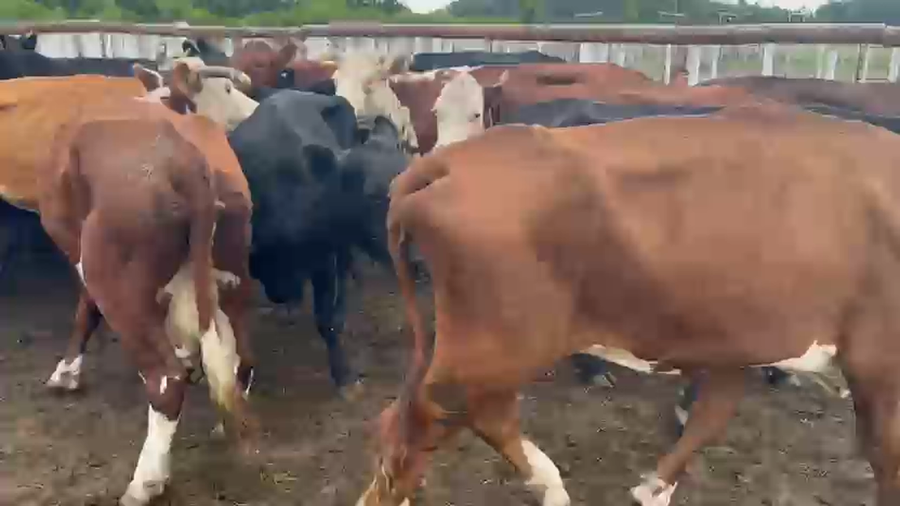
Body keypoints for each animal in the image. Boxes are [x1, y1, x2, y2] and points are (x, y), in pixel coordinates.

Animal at [35, 98, 254, 506]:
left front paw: (66, 372)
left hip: (114, 279)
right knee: (240, 359)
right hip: (232, 278)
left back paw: (146, 482)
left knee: (165, 381)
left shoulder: (76, 245)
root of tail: (187, 162)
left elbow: (85, 307)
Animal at [356, 103, 900, 506]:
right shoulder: (879, 358)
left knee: (420, 418)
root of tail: (450, 159)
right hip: (498, 346)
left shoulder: (736, 336)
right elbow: (886, 452)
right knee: (433, 420)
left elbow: (710, 415)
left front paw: (653, 489)